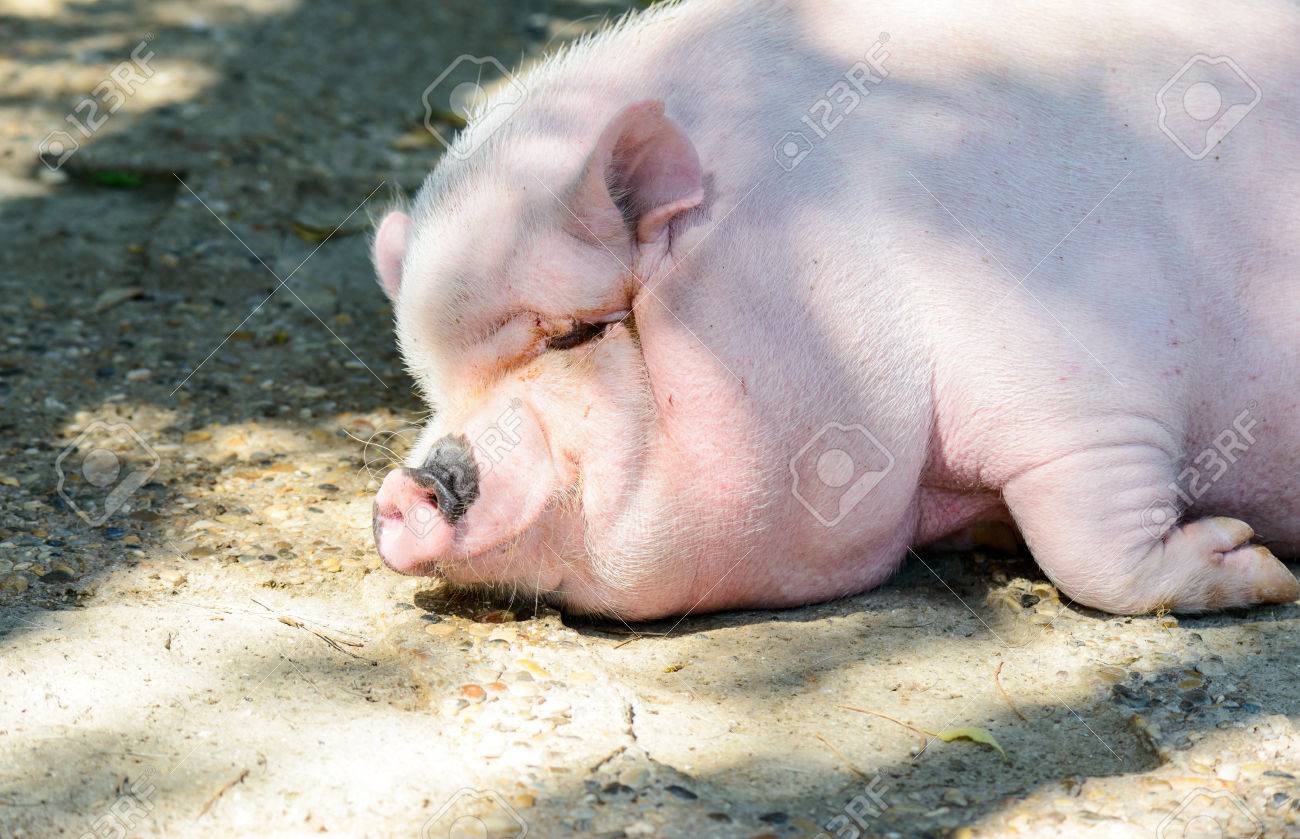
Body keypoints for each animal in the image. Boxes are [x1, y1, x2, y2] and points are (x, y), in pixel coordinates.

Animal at [370, 0, 1300, 621]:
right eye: (430, 385)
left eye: (576, 332)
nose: (412, 486)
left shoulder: (1086, 387)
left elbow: (1088, 541)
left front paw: (1257, 563)